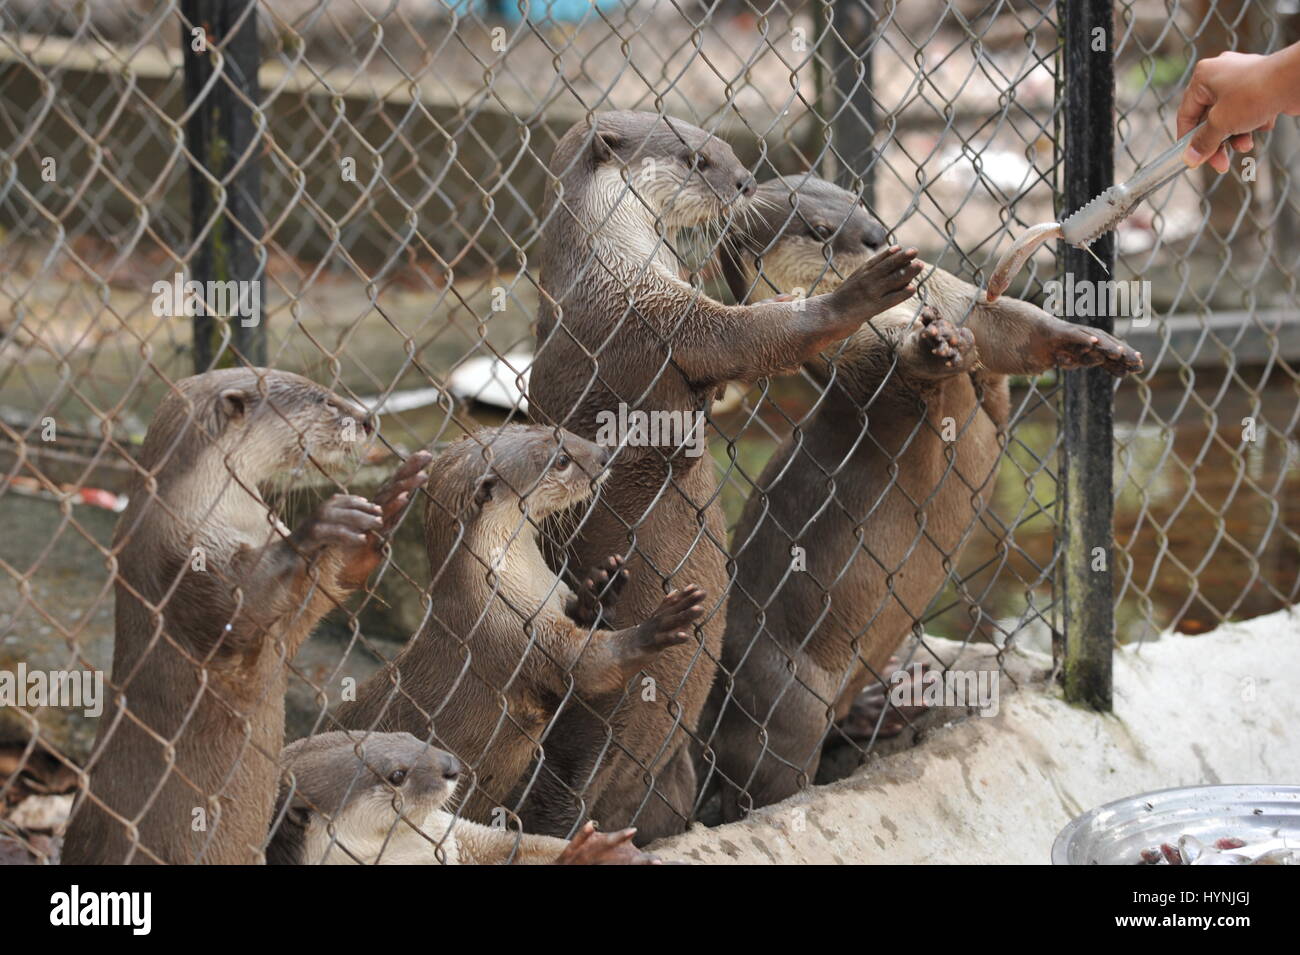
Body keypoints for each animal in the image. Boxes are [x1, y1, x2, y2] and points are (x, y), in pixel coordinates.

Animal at [60, 368, 432, 865]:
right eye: (325, 400)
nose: (369, 419)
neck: (213, 512)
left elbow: (323, 592)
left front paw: (390, 498)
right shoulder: (177, 561)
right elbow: (238, 612)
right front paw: (320, 524)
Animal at [268, 731, 657, 864]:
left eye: (410, 736)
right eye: (397, 775)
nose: (451, 765)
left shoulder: (456, 836)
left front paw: (609, 851)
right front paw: (583, 857)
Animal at [336, 424, 707, 826]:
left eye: (561, 433)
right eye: (561, 461)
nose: (605, 454)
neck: (510, 582)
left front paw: (601, 588)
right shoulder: (514, 633)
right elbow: (587, 666)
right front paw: (660, 624)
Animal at [524, 112, 922, 843]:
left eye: (726, 150)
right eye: (696, 158)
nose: (743, 182)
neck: (607, 263)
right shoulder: (646, 311)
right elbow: (743, 339)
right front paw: (853, 294)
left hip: (669, 771)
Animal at [705, 175, 1144, 819]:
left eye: (859, 204)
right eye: (818, 230)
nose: (874, 235)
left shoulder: (962, 302)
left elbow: (1011, 327)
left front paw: (1093, 344)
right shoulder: (862, 360)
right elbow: (904, 372)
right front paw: (930, 349)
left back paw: (884, 705)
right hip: (778, 698)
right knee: (764, 777)